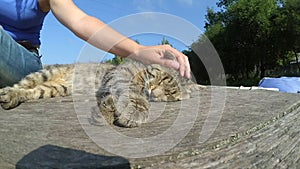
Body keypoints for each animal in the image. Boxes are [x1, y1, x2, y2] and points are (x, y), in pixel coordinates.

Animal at [0, 60, 204, 127]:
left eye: (170, 94)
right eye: (162, 79)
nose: (154, 93)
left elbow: (111, 100)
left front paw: (106, 112)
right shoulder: (121, 73)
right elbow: (131, 91)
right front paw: (137, 109)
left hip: (53, 89)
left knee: (33, 92)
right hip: (43, 74)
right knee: (22, 85)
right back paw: (9, 93)